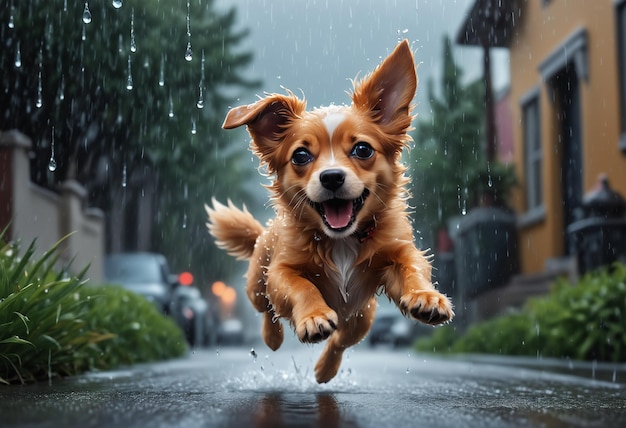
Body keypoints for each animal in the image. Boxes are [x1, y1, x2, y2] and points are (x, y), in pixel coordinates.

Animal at [206, 39, 454, 382]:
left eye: (362, 149)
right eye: (301, 156)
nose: (332, 176)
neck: (342, 241)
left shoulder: (396, 254)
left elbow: (412, 267)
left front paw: (425, 296)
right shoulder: (281, 271)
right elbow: (301, 285)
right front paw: (313, 316)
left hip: (361, 318)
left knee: (341, 339)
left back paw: (325, 370)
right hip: (256, 284)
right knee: (268, 310)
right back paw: (274, 338)